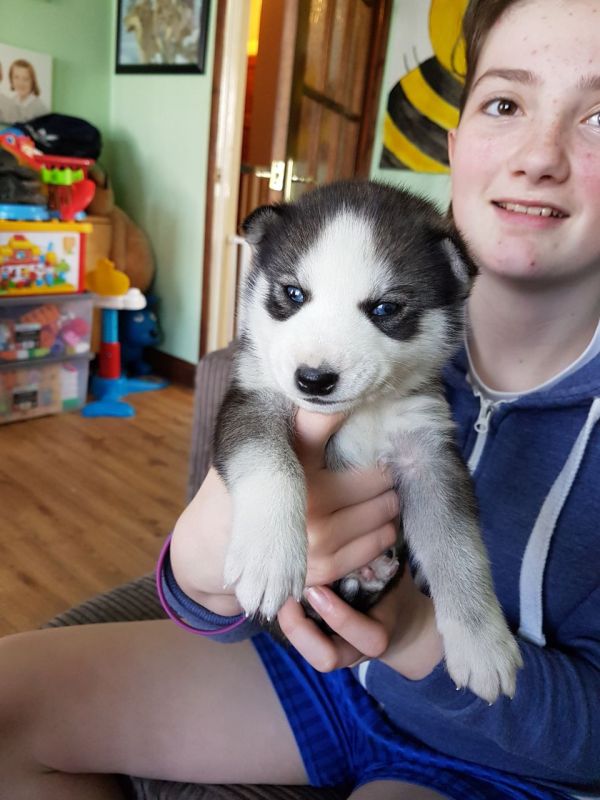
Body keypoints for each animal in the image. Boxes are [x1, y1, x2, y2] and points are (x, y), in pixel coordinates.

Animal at [213, 180, 522, 702]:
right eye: (293, 293)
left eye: (384, 308)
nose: (314, 379)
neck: (360, 414)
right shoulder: (251, 401)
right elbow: (270, 463)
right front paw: (269, 555)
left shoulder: (428, 450)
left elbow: (458, 547)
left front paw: (482, 644)